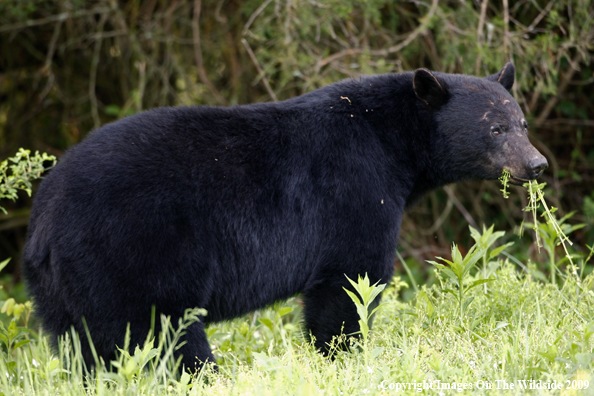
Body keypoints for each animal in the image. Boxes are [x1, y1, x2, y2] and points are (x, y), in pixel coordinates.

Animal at [23, 62, 544, 372]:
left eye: (522, 123)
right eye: (495, 128)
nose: (537, 164)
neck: (391, 141)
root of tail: (45, 220)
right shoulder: (354, 190)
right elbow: (349, 282)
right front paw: (341, 358)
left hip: (62, 288)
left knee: (83, 345)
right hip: (134, 251)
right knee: (161, 332)